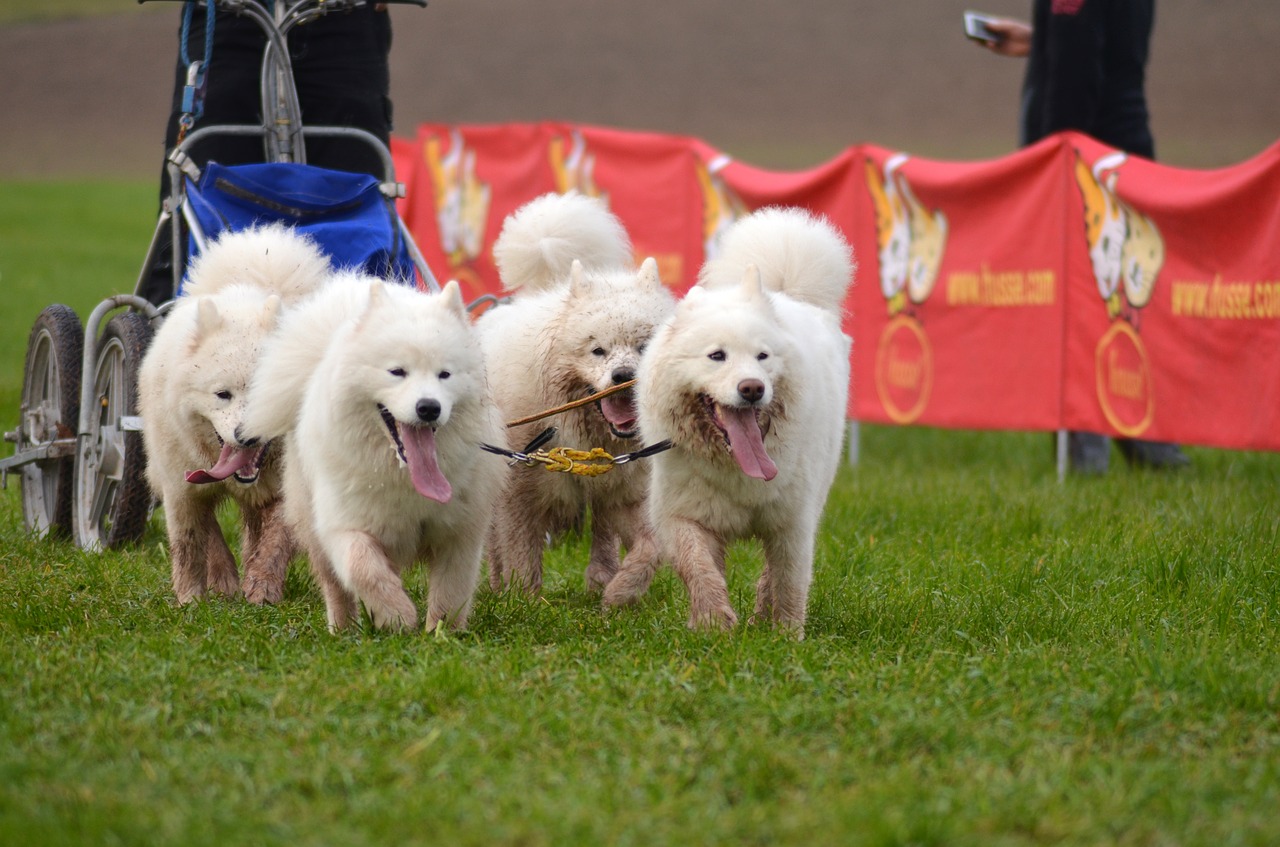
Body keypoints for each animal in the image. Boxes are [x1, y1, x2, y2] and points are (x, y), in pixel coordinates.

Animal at [138, 225, 330, 606]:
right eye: (222, 395)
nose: (247, 435)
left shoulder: (288, 491)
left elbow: (274, 542)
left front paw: (262, 587)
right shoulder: (182, 488)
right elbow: (192, 543)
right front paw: (193, 598)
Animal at [478, 191, 680, 593]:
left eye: (643, 346)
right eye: (597, 350)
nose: (623, 375)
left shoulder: (628, 491)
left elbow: (650, 548)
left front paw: (623, 590)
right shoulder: (520, 489)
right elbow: (520, 553)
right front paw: (523, 598)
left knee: (602, 535)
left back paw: (601, 578)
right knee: (494, 544)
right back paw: (497, 585)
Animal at [601, 208, 860, 639]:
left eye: (762, 356)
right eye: (716, 356)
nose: (752, 388)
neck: (736, 467)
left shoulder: (792, 522)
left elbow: (788, 583)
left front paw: (787, 636)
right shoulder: (683, 515)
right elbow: (699, 568)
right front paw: (712, 623)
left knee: (770, 577)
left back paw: (762, 620)